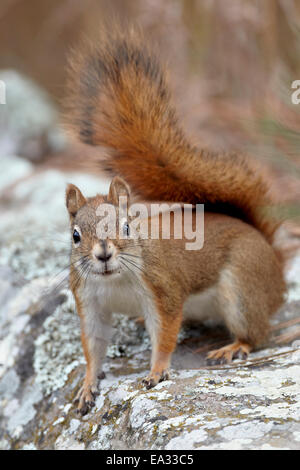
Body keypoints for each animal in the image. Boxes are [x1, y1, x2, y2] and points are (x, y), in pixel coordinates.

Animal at [64, 26, 284, 414]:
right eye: (75, 236)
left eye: (126, 226)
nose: (103, 255)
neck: (113, 281)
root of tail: (273, 257)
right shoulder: (89, 302)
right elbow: (93, 346)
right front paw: (88, 386)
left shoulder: (162, 290)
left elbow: (165, 334)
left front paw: (156, 371)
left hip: (244, 286)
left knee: (257, 333)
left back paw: (233, 347)